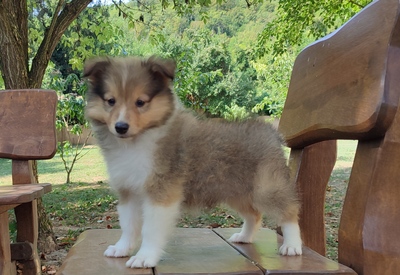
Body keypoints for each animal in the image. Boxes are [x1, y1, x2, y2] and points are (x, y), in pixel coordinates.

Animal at [85, 56, 304, 270]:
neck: (136, 142)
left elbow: (150, 229)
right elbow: (128, 225)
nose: (121, 127)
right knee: (254, 215)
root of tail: (270, 131)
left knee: (289, 211)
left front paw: (144, 257)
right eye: (111, 101)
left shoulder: (162, 192)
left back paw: (292, 245)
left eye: (140, 102)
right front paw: (121, 249)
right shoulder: (128, 190)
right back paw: (244, 237)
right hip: (236, 192)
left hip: (265, 188)